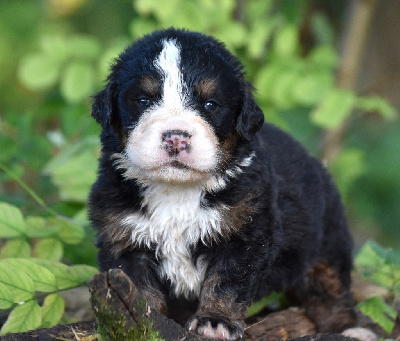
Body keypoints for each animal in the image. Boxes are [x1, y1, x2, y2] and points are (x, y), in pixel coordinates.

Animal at [90, 28, 356, 338]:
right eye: (143, 100)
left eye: (210, 104)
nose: (176, 137)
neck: (177, 191)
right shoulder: (124, 237)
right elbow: (140, 290)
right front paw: (144, 321)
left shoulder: (244, 233)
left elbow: (227, 283)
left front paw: (216, 321)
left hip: (327, 240)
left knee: (330, 288)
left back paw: (348, 328)